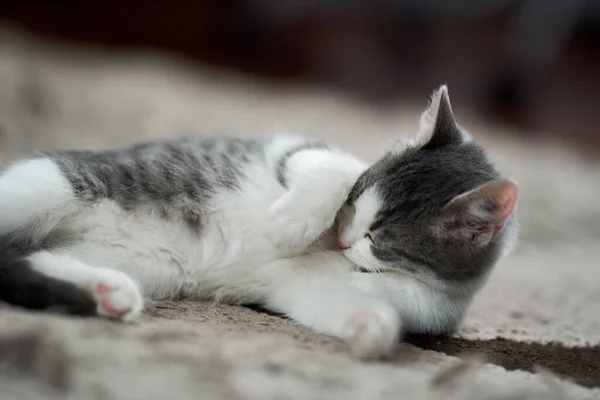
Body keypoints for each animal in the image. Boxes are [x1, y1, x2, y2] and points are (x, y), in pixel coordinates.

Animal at [0, 86, 516, 358]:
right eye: (352, 206)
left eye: (380, 238)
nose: (341, 239)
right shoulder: (298, 150)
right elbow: (328, 168)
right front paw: (287, 226)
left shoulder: (411, 302)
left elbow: (335, 302)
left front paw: (371, 329)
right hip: (48, 185)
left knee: (36, 258)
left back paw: (106, 291)